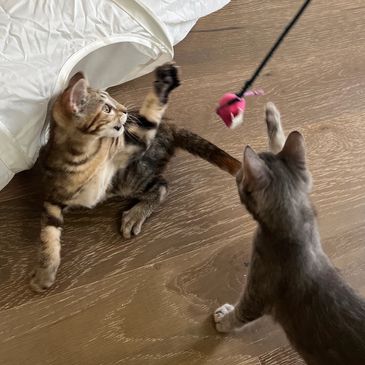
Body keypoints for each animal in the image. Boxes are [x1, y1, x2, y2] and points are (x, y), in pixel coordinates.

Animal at [30, 61, 242, 290]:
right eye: (107, 108)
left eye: (112, 102)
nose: (124, 110)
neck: (83, 155)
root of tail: (169, 126)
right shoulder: (52, 197)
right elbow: (47, 235)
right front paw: (45, 271)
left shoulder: (132, 144)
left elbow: (147, 121)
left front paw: (164, 82)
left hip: (129, 176)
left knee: (161, 185)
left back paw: (135, 214)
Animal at [213, 102, 364, 364]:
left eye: (241, 178)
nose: (237, 173)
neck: (297, 227)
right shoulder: (305, 184)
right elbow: (280, 145)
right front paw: (272, 118)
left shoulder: (259, 288)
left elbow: (243, 312)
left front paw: (224, 319)